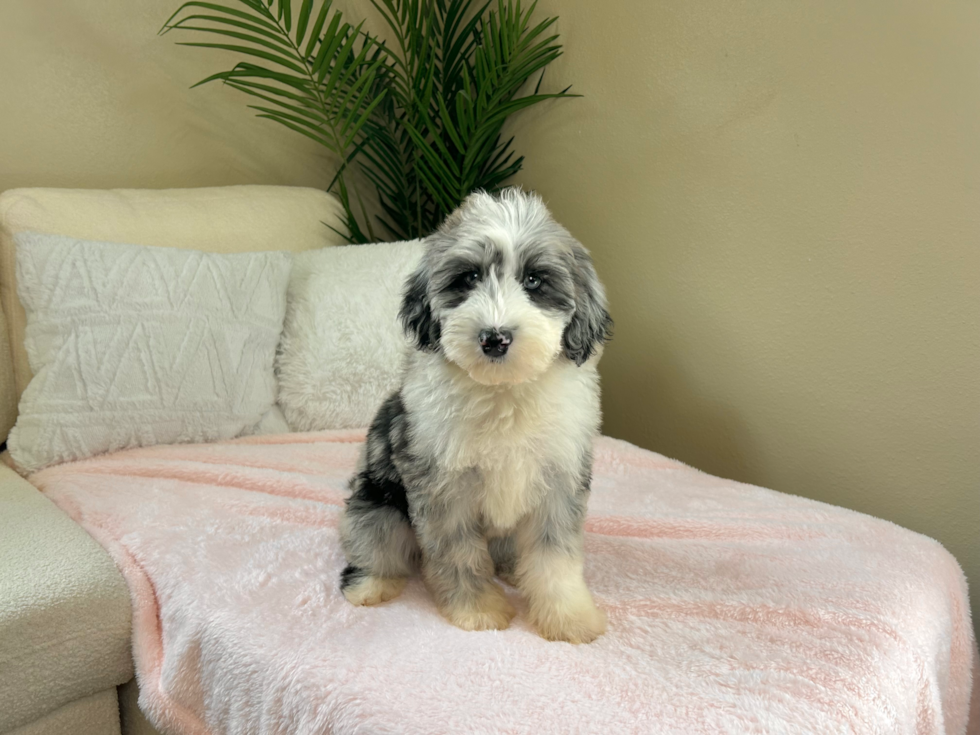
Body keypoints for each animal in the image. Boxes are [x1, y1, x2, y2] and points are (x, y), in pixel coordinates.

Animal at [340, 188, 608, 644]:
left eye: (534, 280)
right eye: (467, 279)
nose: (494, 338)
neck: (503, 392)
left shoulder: (560, 480)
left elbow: (555, 556)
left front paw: (568, 616)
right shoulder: (443, 487)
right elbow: (458, 553)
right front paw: (476, 609)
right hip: (377, 506)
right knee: (376, 546)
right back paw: (372, 584)